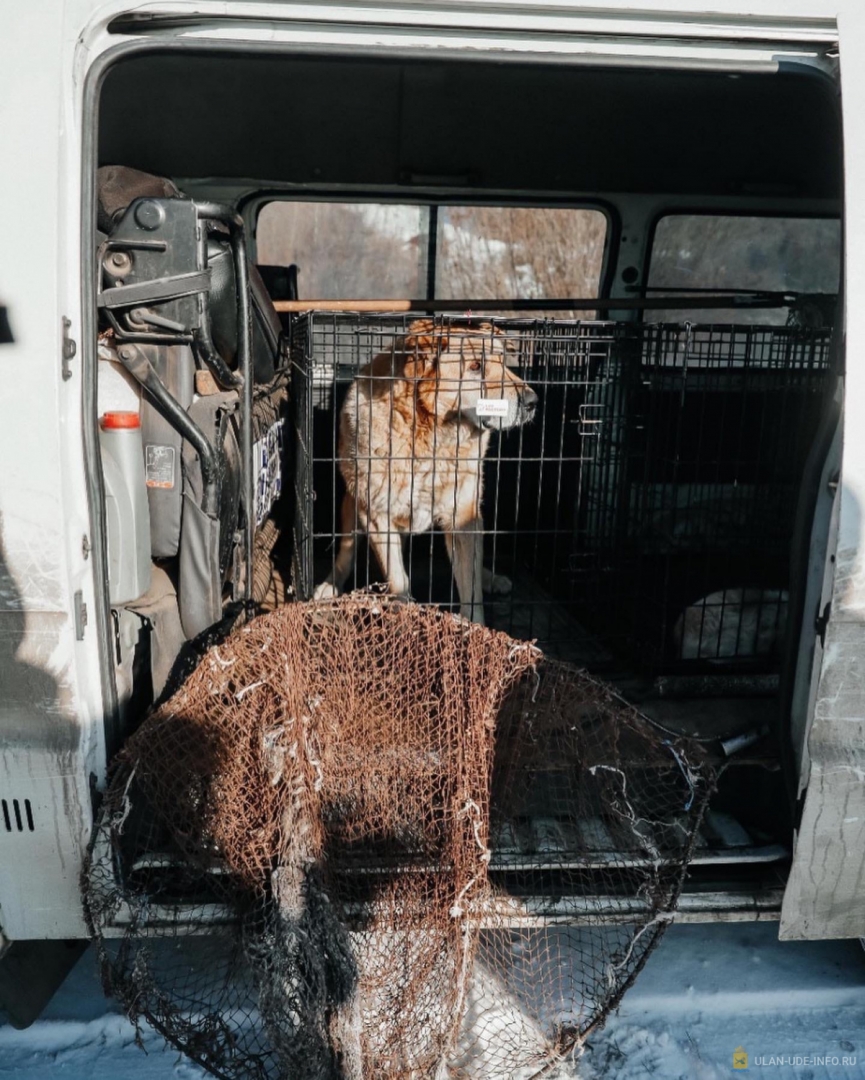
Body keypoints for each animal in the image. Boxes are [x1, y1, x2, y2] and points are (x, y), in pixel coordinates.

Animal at [313, 319, 535, 622]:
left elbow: (470, 584)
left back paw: (492, 579)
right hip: (351, 505)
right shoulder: (376, 515)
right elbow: (398, 578)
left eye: (503, 363)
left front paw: (475, 626)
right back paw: (330, 585)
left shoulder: (463, 515)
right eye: (475, 366)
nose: (533, 402)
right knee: (346, 550)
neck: (429, 434)